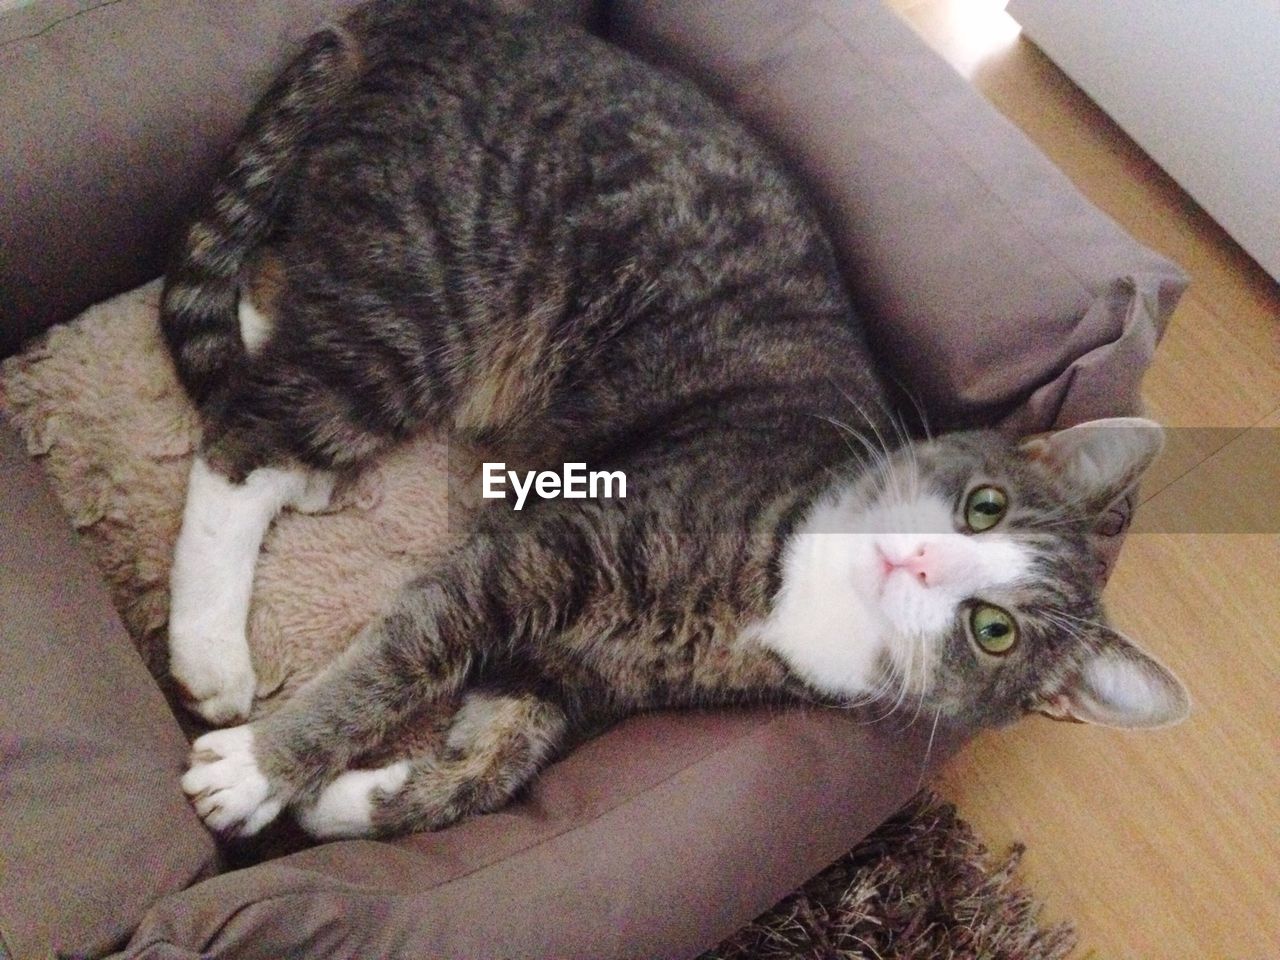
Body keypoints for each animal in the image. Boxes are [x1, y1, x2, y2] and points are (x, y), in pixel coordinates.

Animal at [162, 0, 1187, 839]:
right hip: (424, 296)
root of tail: (413, 18)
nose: (921, 557)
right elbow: (400, 656)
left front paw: (352, 798)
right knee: (247, 433)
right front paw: (265, 768)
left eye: (993, 632)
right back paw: (211, 645)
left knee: (274, 327)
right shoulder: (537, 551)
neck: (793, 594)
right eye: (983, 506)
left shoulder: (564, 678)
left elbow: (493, 768)